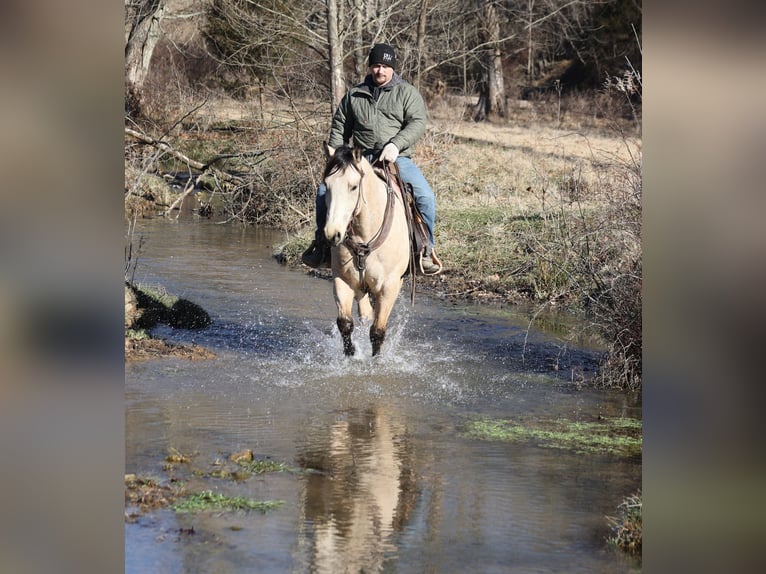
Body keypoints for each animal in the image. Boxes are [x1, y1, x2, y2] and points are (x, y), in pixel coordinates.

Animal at [322, 144, 410, 357]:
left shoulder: (389, 287)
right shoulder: (342, 280)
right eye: (326, 185)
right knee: (364, 313)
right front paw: (350, 354)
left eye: (354, 186)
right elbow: (345, 323)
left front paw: (375, 360)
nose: (332, 234)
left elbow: (378, 331)